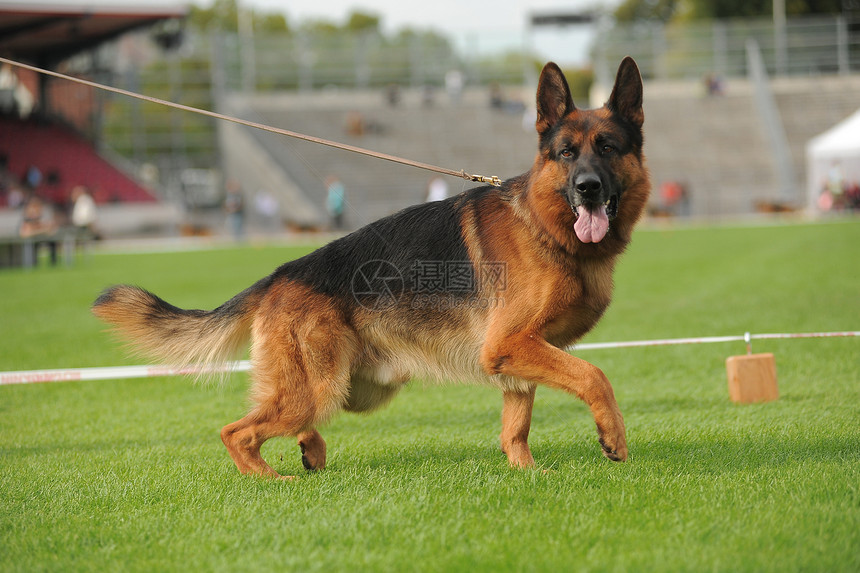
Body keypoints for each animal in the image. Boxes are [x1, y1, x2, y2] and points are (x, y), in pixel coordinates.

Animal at [90, 58, 648, 478]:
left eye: (608, 148)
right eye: (566, 154)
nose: (588, 189)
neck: (544, 227)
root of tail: (278, 276)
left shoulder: (512, 358)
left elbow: (517, 425)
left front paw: (527, 473)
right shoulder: (513, 344)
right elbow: (594, 374)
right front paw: (613, 438)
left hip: (352, 388)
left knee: (281, 422)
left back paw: (309, 451)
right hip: (320, 388)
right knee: (238, 432)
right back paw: (273, 481)